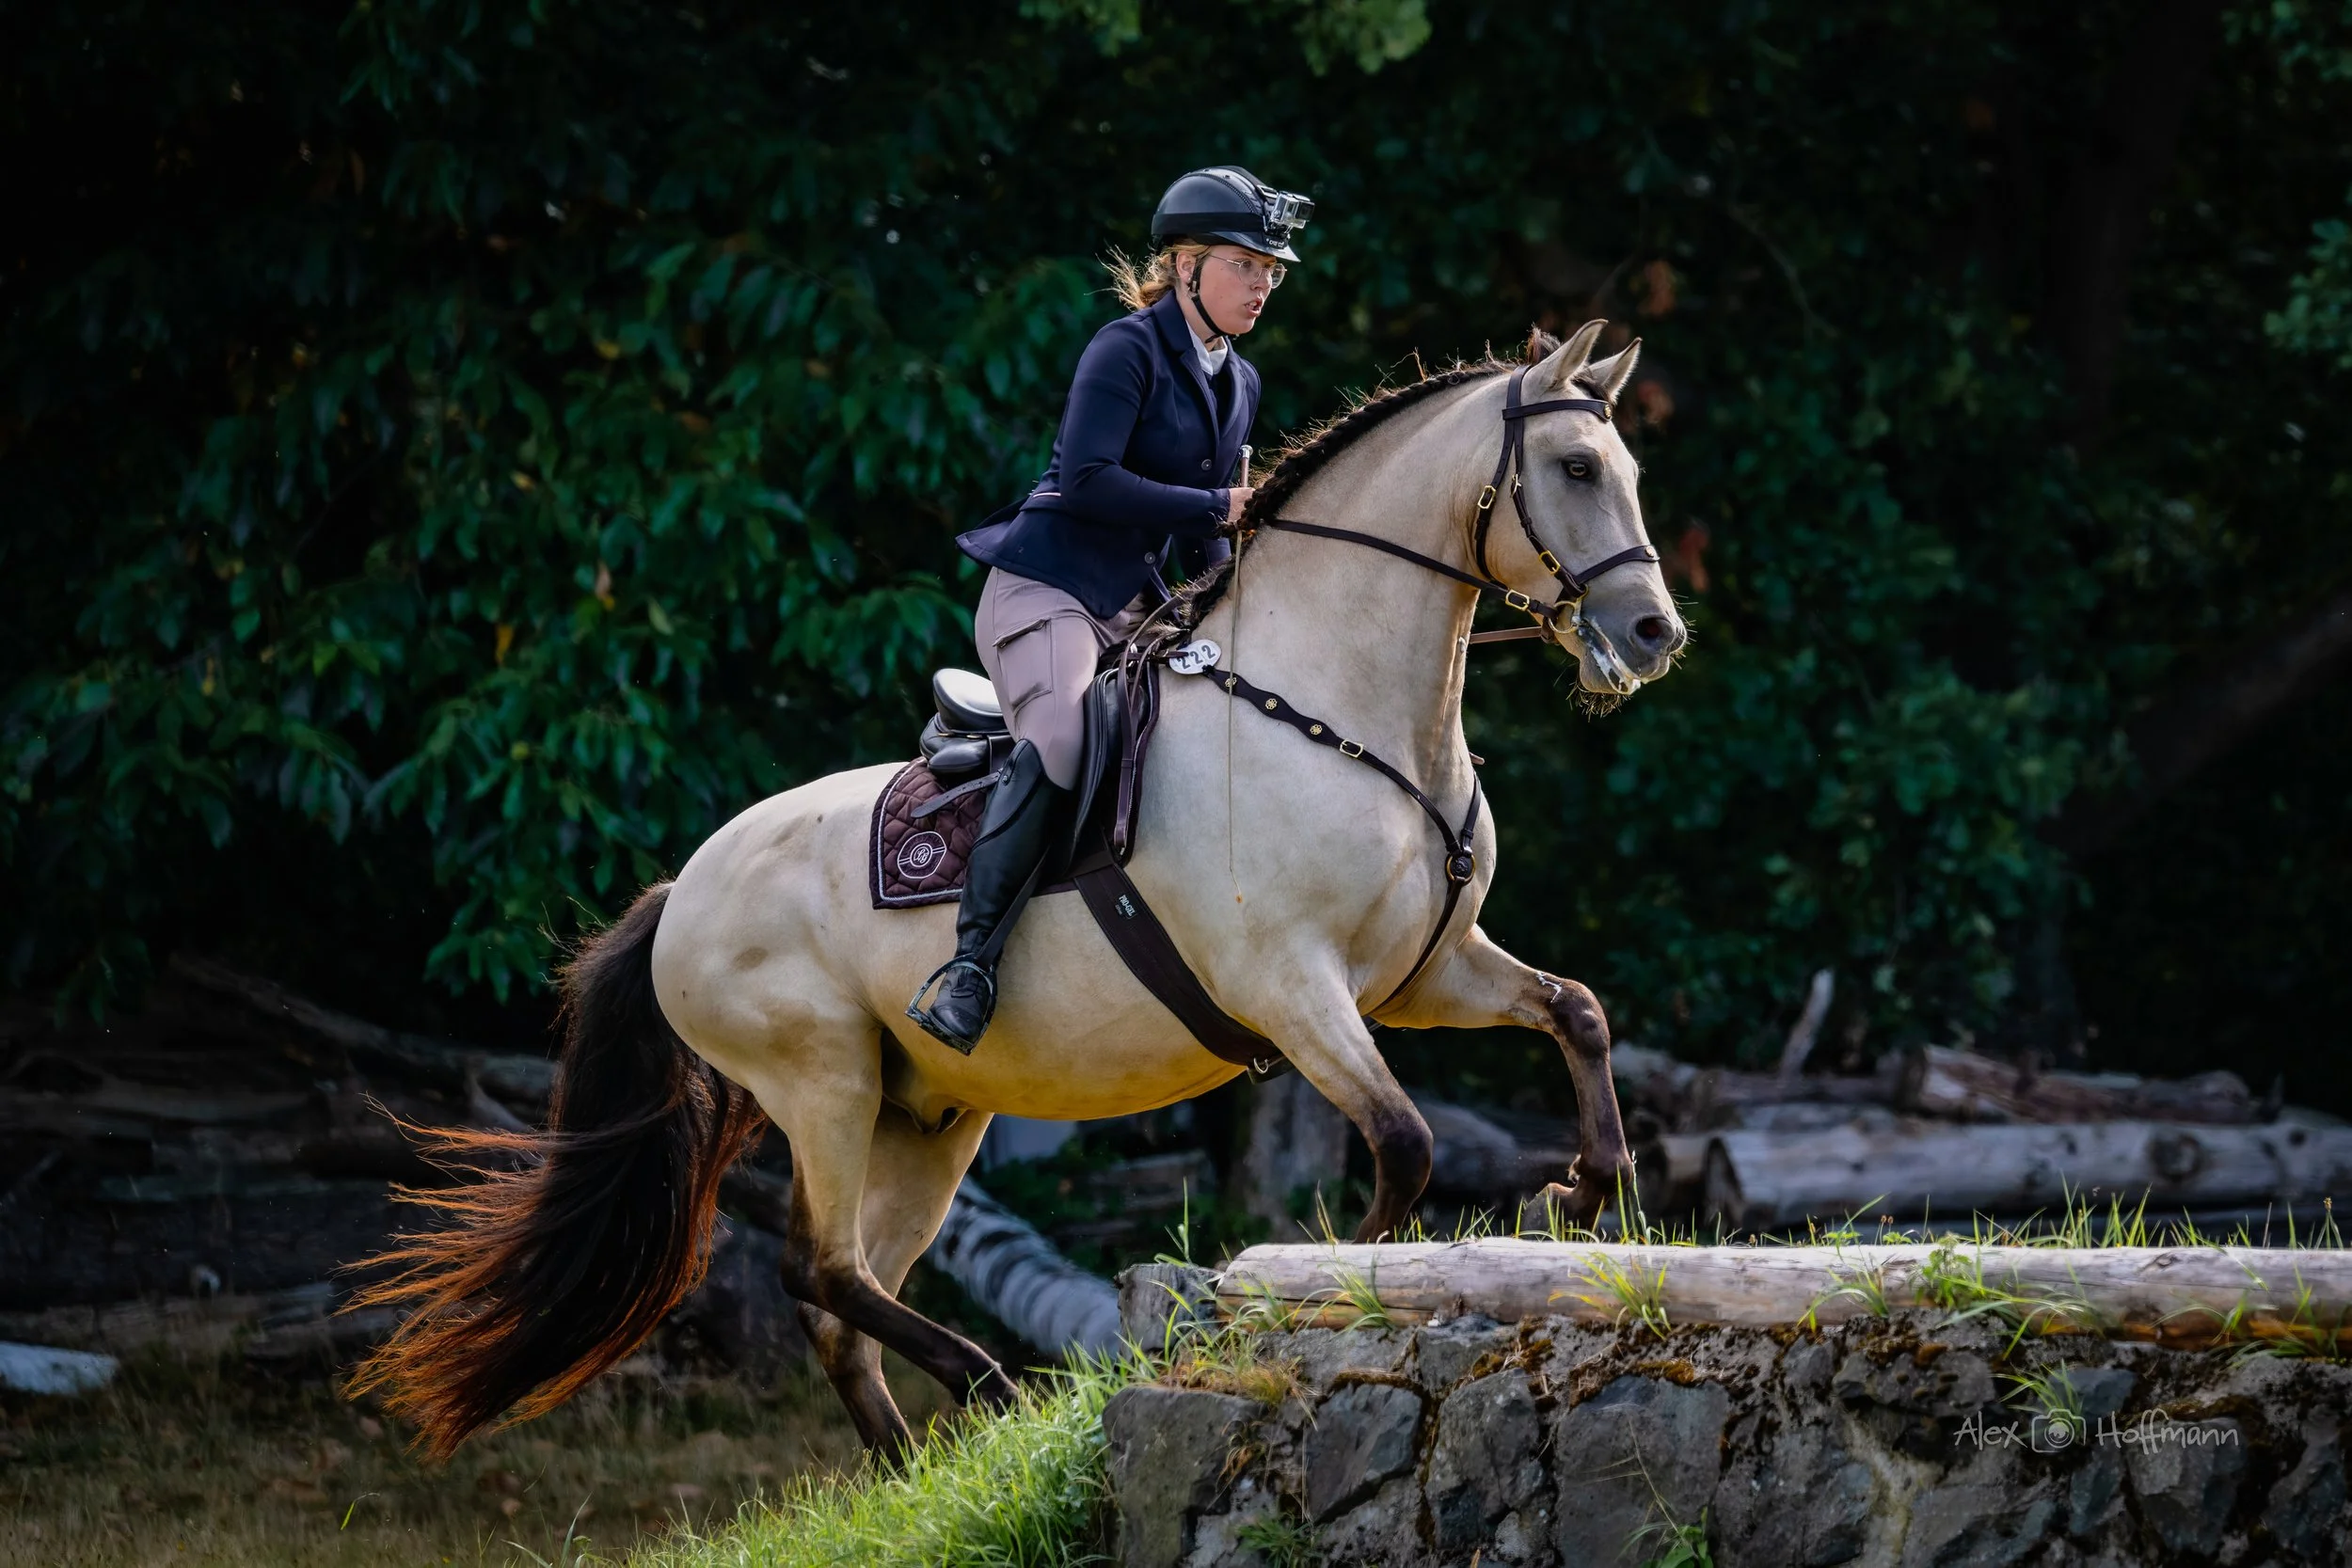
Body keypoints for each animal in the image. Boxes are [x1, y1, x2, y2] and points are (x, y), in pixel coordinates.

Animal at [350, 320, 1688, 1459]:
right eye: (1575, 466)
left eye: (1628, 467)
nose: (1652, 634)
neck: (1343, 712)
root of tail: (682, 887)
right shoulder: (1292, 985)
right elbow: (1405, 1145)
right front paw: (1298, 1297)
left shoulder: (1424, 974)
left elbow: (1574, 1010)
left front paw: (1583, 1187)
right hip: (820, 1078)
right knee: (819, 1270)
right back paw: (986, 1381)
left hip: (926, 1117)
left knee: (842, 1300)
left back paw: (905, 1470)